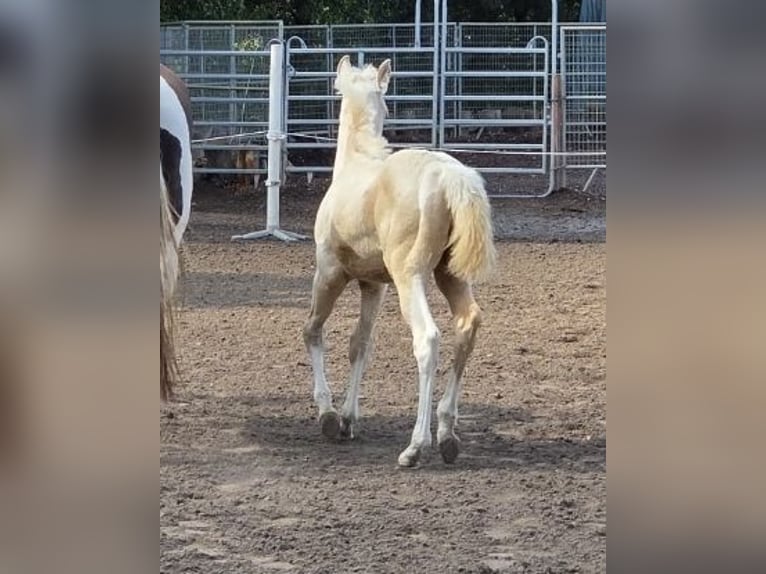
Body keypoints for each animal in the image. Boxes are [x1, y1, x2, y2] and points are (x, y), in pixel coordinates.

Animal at [303, 56, 496, 467]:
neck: (354, 165)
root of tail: (448, 175)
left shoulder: (329, 273)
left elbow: (313, 330)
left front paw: (328, 415)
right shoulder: (373, 285)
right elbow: (360, 343)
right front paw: (348, 419)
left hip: (411, 277)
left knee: (428, 339)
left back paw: (415, 446)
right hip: (449, 276)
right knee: (467, 325)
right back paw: (447, 435)